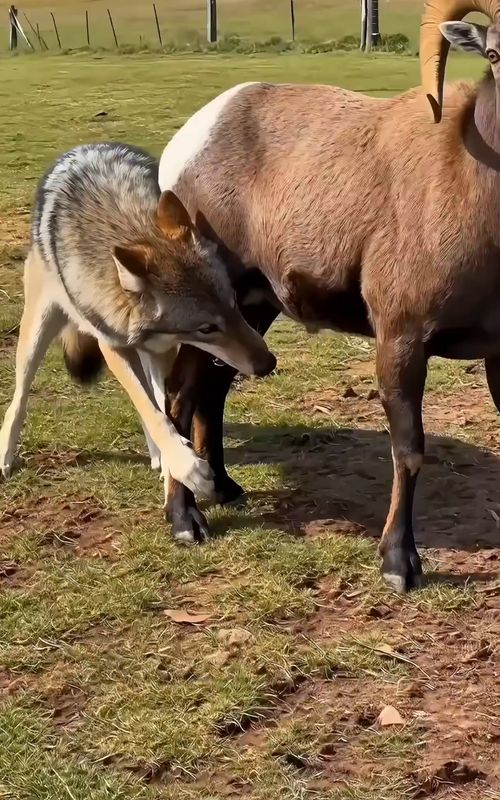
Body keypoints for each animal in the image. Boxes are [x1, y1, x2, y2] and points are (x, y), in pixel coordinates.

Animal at [151, 0, 500, 592]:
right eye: (496, 52)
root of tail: (188, 143)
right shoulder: (401, 339)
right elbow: (408, 451)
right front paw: (399, 565)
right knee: (179, 397)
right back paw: (185, 522)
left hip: (250, 312)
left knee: (212, 393)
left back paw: (224, 489)